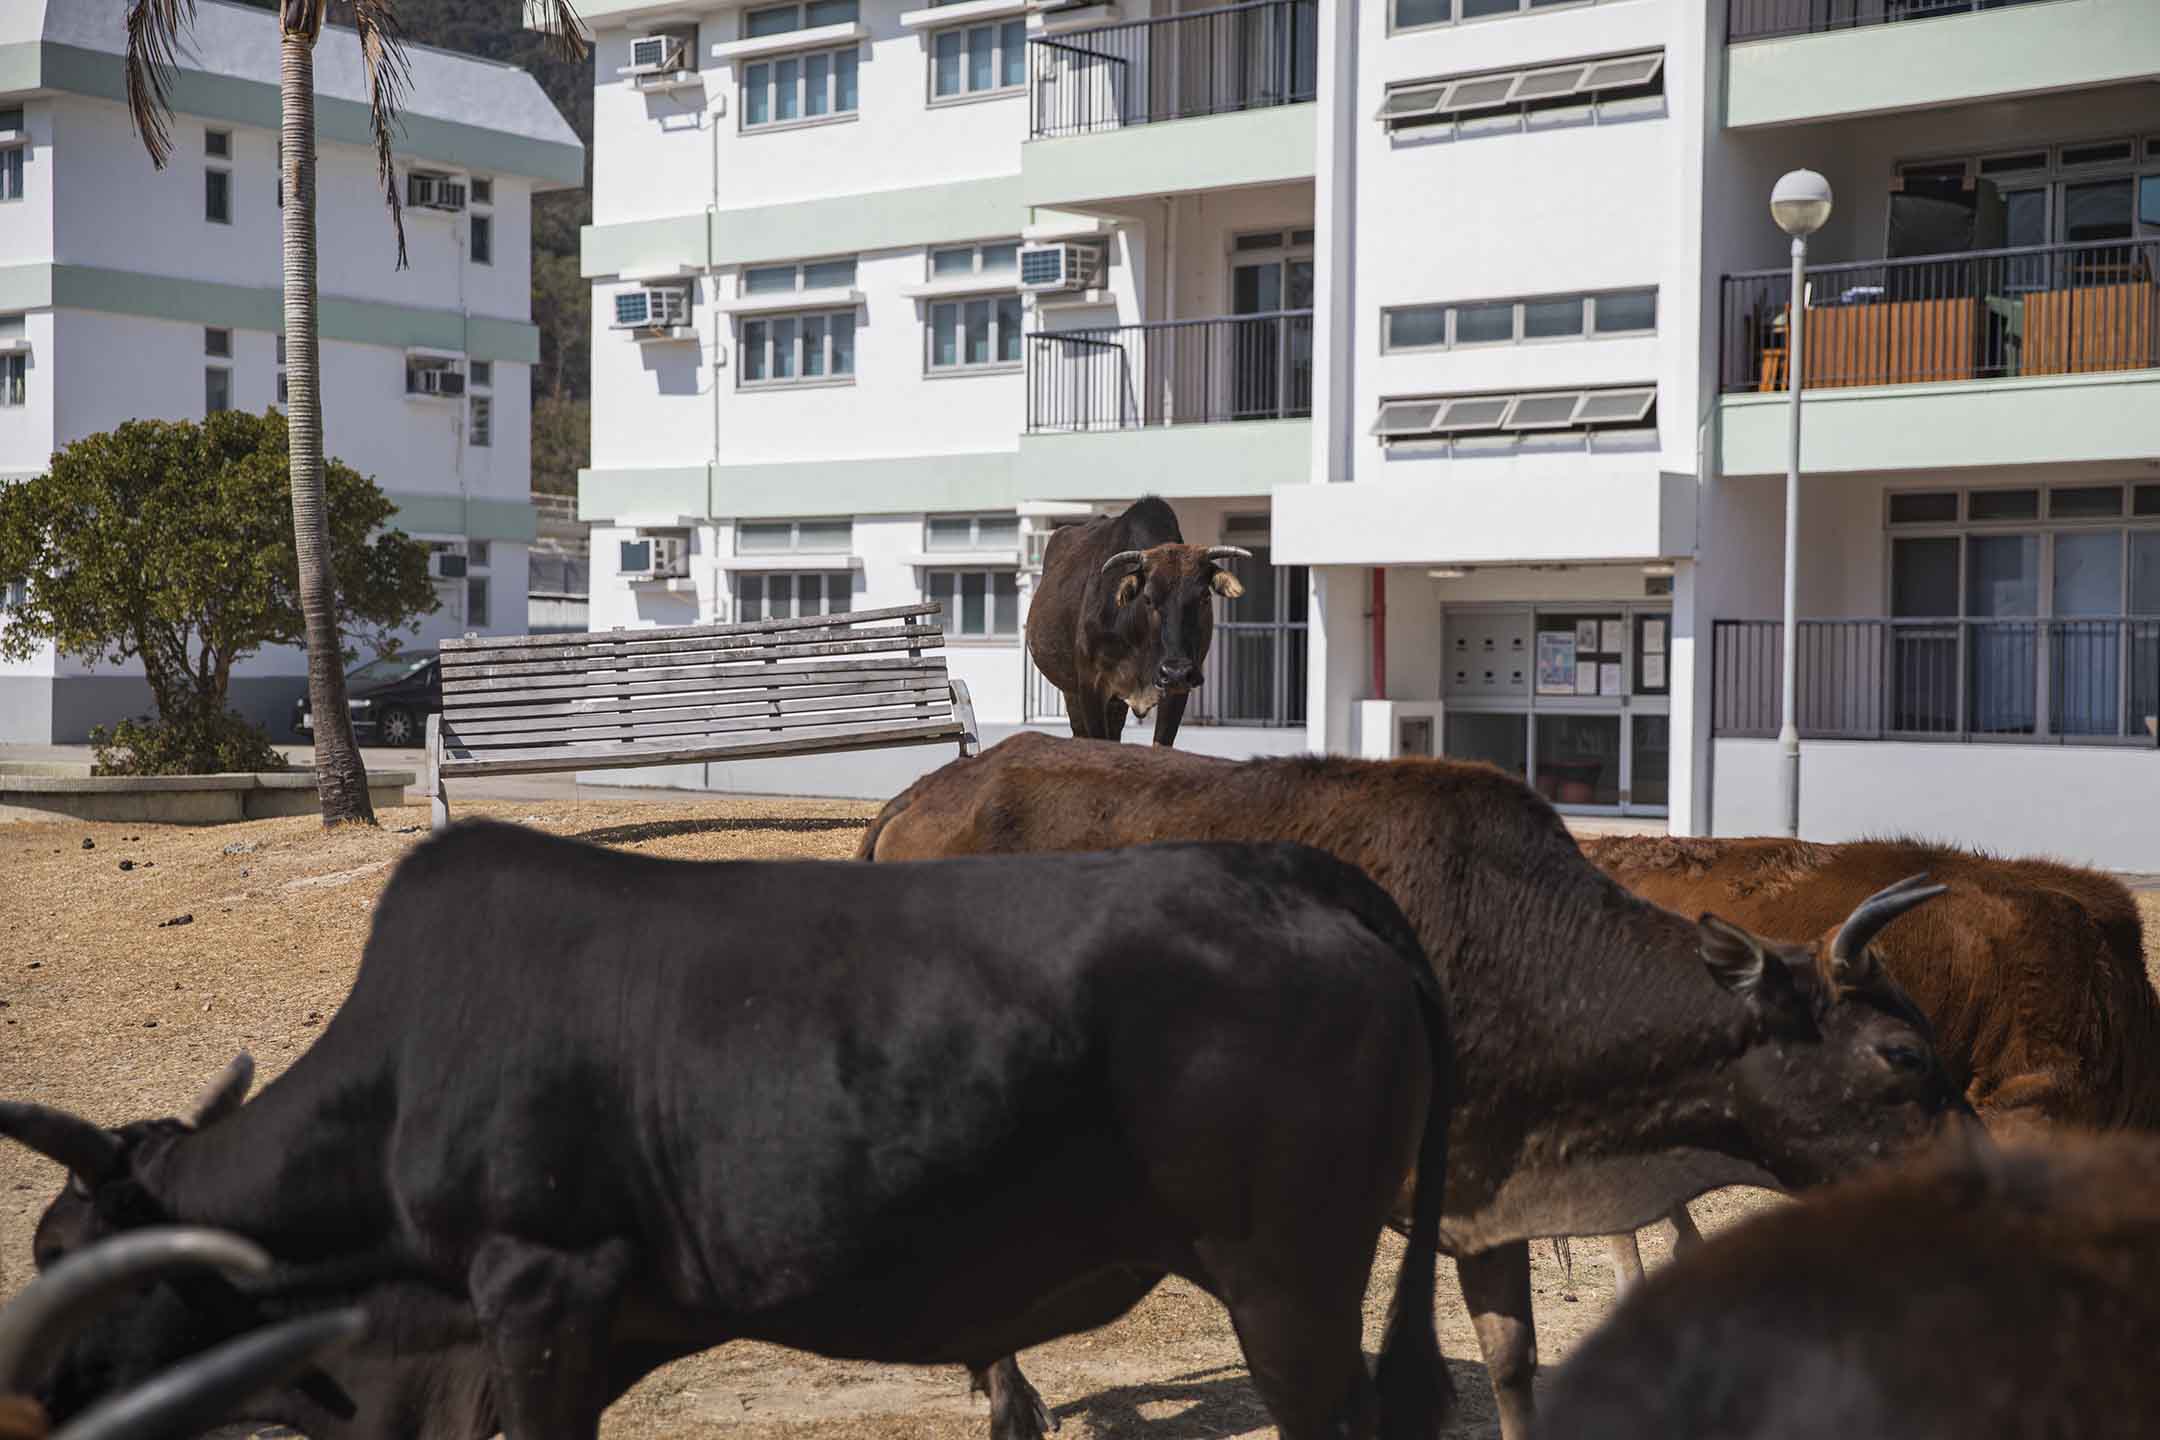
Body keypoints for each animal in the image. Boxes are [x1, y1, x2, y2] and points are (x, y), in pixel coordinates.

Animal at [864, 734, 1978, 1440]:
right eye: (1902, 1057)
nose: (1976, 1169)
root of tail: (931, 790)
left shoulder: (1494, 1189)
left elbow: (1513, 1361)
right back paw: (1011, 1402)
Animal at [1023, 498, 1252, 751]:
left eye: (1204, 597)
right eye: (1148, 598)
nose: (1176, 672)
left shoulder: (1177, 692)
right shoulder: (1091, 687)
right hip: (1071, 692)